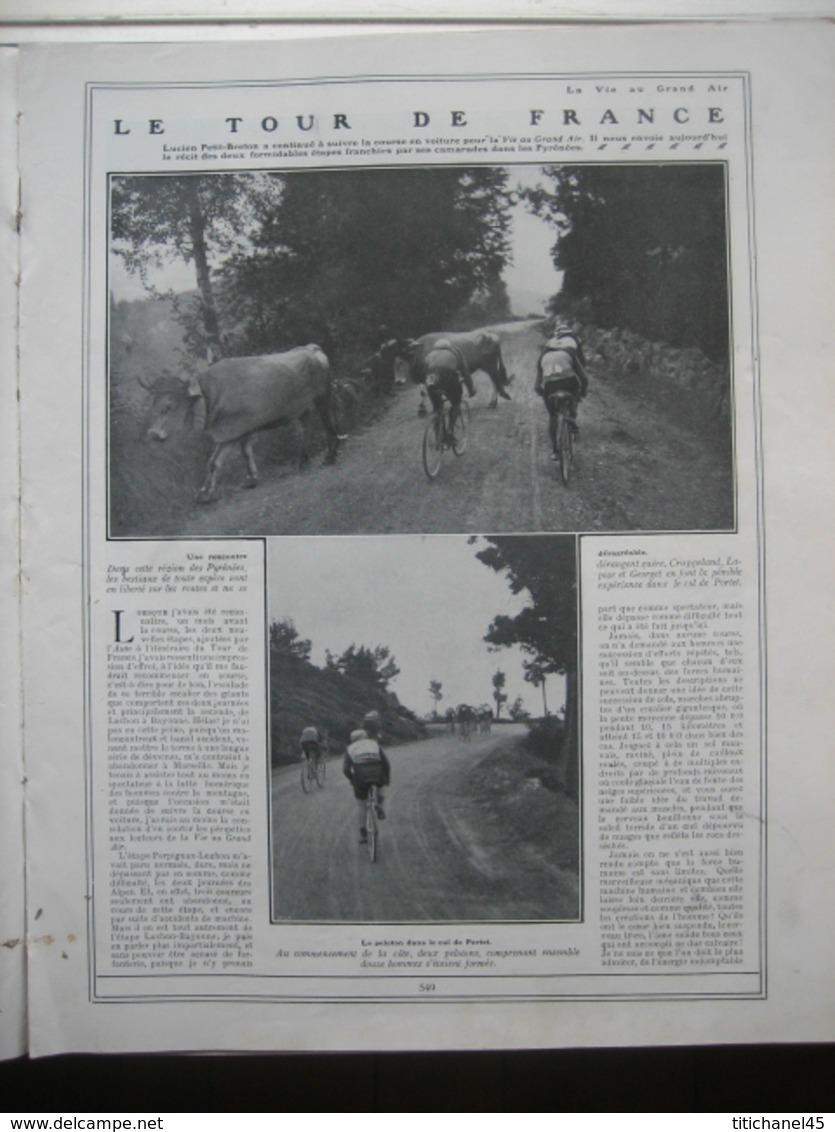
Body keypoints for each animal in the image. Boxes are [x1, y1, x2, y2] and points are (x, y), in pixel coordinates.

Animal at [138, 344, 339, 504]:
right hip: (301, 408)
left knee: (328, 422)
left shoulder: (231, 432)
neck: (210, 396)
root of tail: (312, 349)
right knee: (308, 426)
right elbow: (243, 453)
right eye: (153, 404)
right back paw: (303, 460)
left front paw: (206, 494)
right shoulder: (242, 430)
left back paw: (330, 456)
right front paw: (251, 479)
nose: (152, 434)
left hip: (323, 396)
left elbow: (214, 462)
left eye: (168, 406)